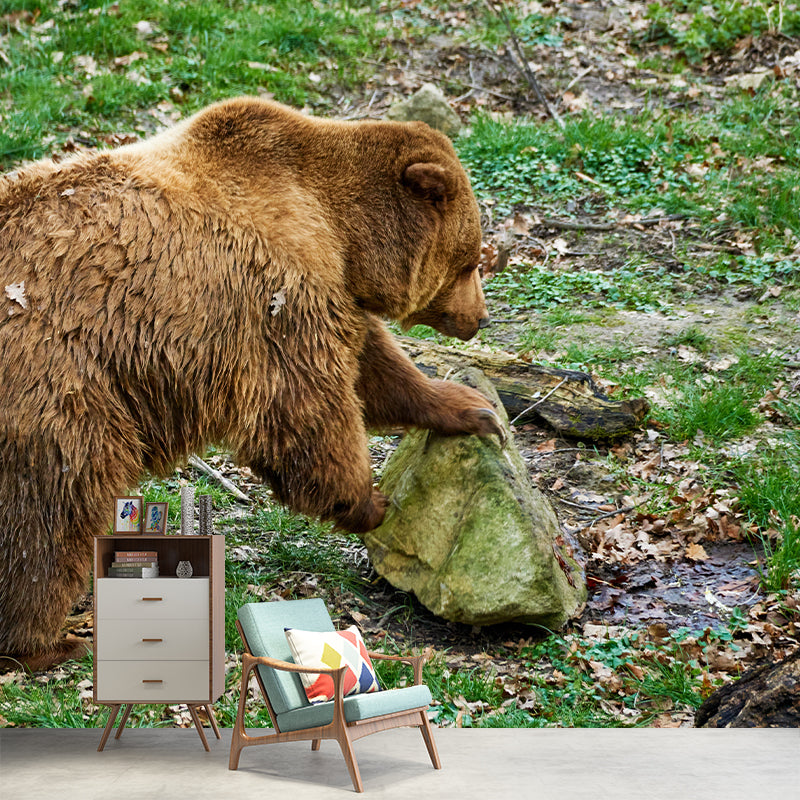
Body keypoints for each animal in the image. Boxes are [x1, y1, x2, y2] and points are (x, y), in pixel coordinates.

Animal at [0, 96, 503, 669]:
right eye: (470, 261)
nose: (480, 318)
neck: (340, 229)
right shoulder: (277, 300)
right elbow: (312, 407)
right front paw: (369, 502)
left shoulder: (332, 293)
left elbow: (376, 369)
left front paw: (472, 408)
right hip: (58, 382)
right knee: (52, 511)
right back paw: (48, 640)